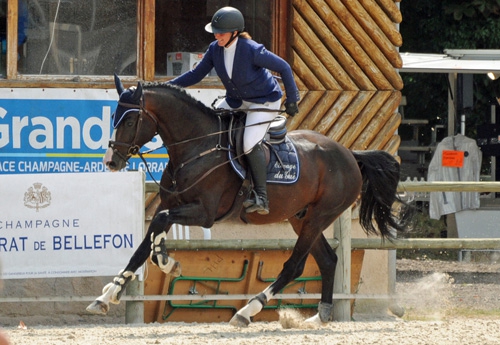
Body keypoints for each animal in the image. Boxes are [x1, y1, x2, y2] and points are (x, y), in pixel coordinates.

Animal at [88, 75, 412, 326]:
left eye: (130, 119)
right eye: (114, 117)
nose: (111, 161)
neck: (197, 147)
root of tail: (350, 154)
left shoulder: (204, 213)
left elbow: (158, 224)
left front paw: (168, 263)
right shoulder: (175, 205)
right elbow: (145, 243)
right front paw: (108, 295)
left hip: (319, 216)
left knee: (294, 266)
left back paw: (247, 311)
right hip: (301, 218)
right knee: (328, 260)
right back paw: (319, 316)